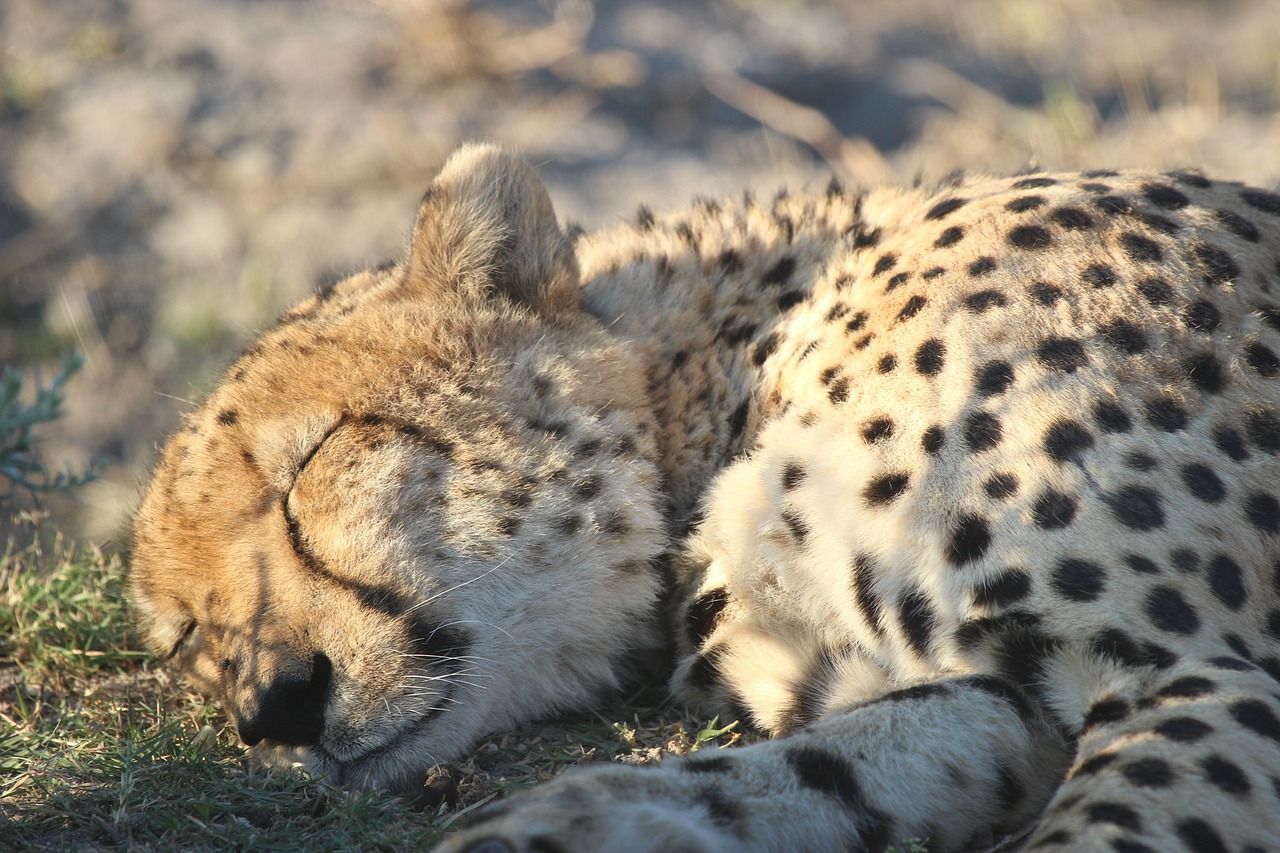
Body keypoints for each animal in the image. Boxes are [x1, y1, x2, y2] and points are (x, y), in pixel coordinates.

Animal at [129, 146, 1280, 850]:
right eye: (190, 636)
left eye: (312, 462)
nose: (276, 707)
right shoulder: (1002, 697)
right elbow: (811, 768)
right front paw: (566, 825)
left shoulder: (1199, 671)